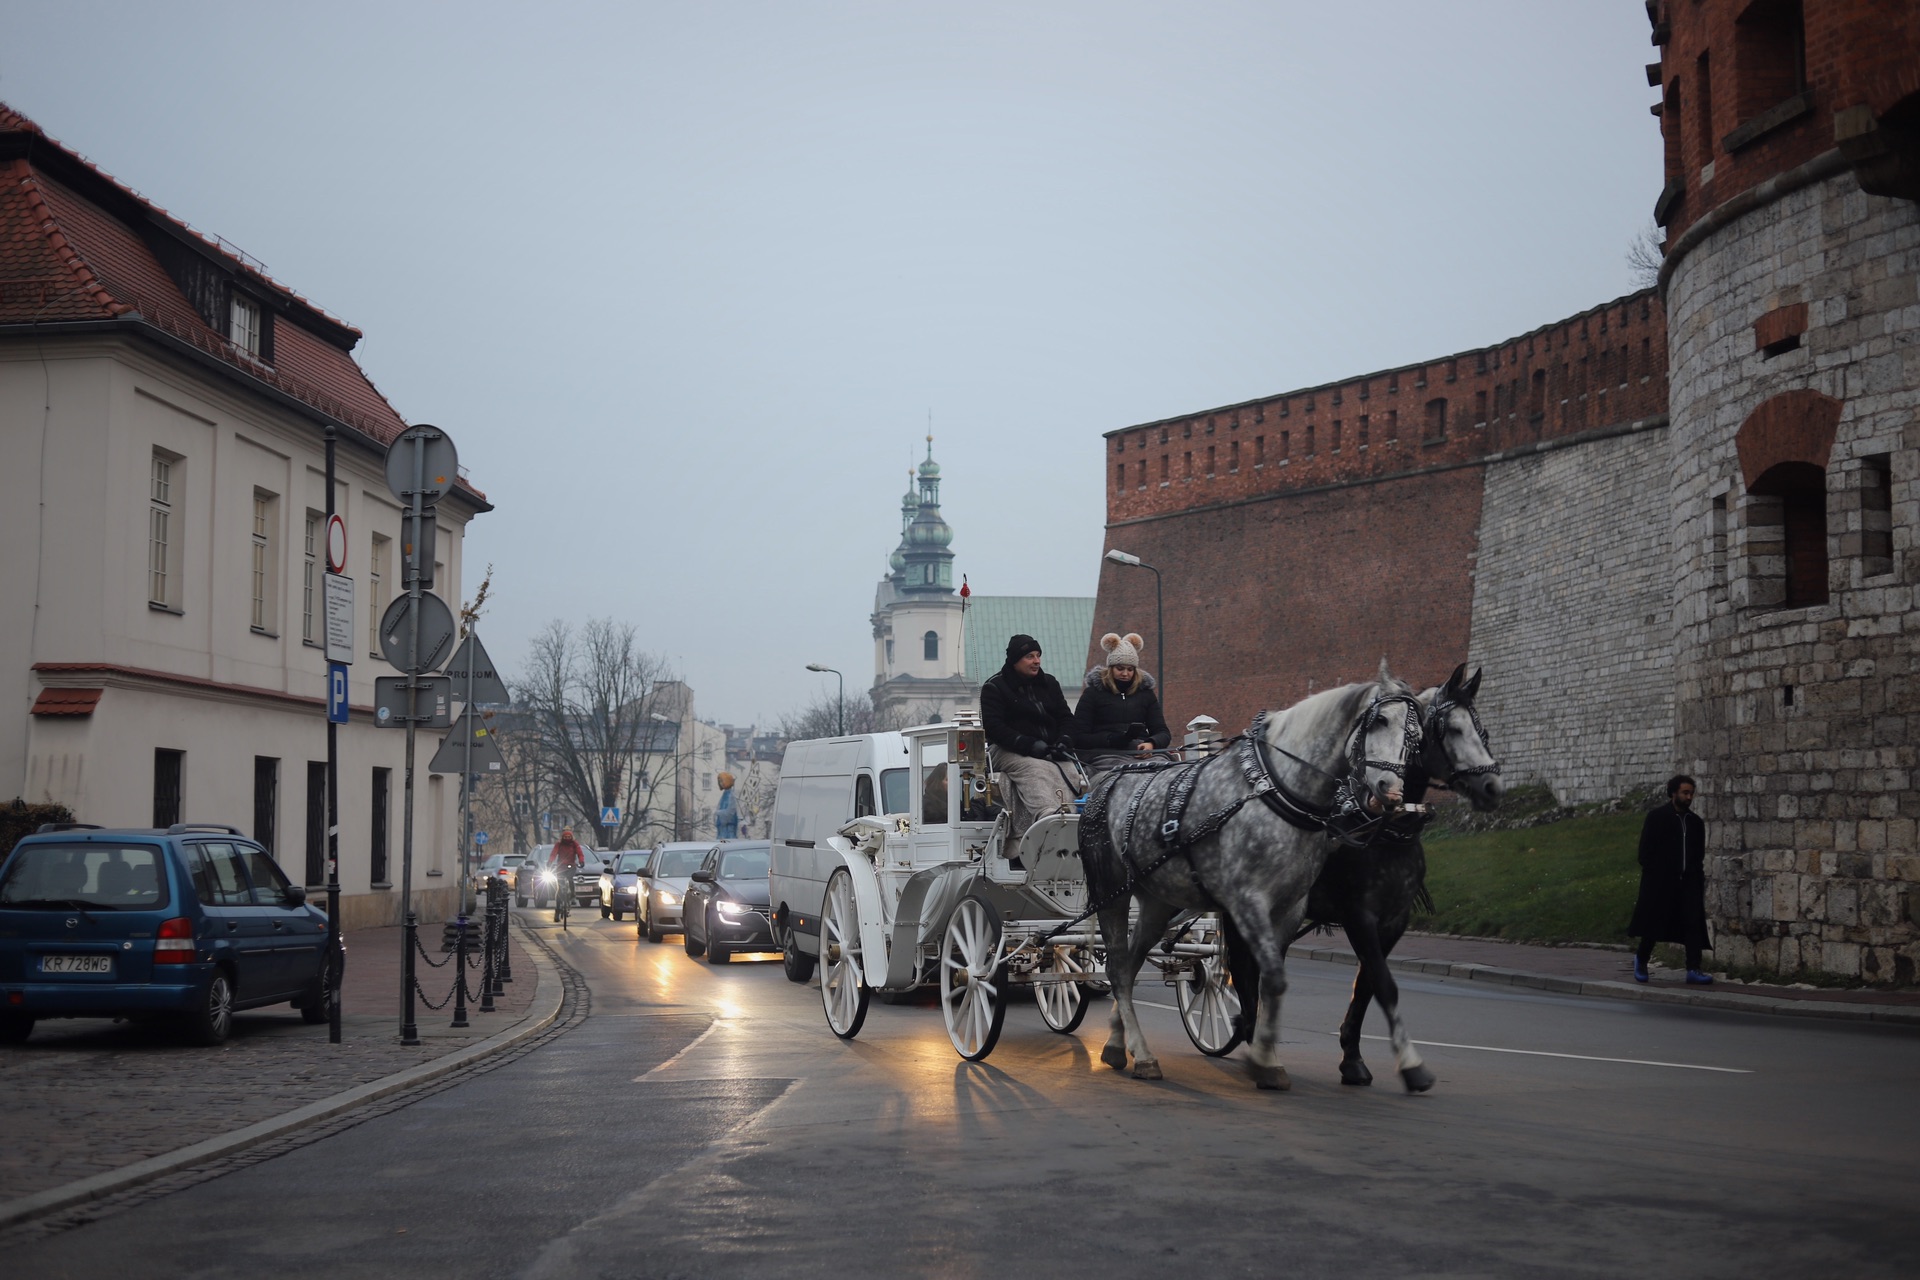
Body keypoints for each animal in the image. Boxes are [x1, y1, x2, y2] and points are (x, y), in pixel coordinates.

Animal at [1082, 667, 1428, 1097]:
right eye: (1379, 721)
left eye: (1417, 736)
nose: (1391, 793)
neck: (1276, 789)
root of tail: (1105, 782)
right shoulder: (1249, 902)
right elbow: (1272, 979)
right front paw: (1262, 1057)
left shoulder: (1290, 908)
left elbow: (1270, 982)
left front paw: (1265, 1052)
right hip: (1112, 893)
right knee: (1116, 970)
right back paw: (1143, 1055)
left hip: (1157, 902)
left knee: (1128, 968)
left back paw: (1118, 1044)